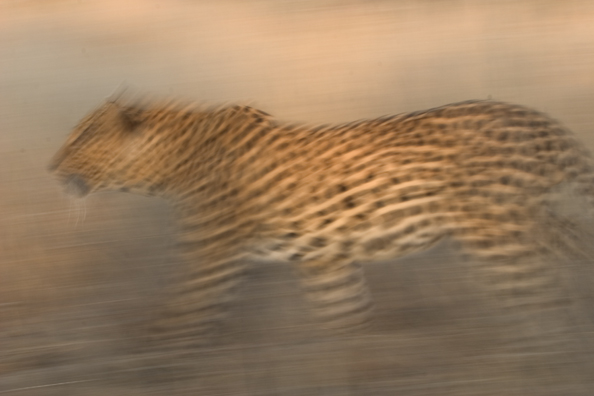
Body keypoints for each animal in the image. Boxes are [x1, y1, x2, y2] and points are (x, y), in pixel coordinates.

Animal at [48, 96, 592, 356]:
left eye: (79, 141)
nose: (50, 168)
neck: (166, 167)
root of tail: (546, 122)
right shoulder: (325, 258)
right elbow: (345, 319)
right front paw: (354, 363)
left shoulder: (211, 260)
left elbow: (181, 320)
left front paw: (150, 363)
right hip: (533, 222)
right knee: (570, 268)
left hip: (495, 235)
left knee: (541, 302)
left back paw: (542, 359)